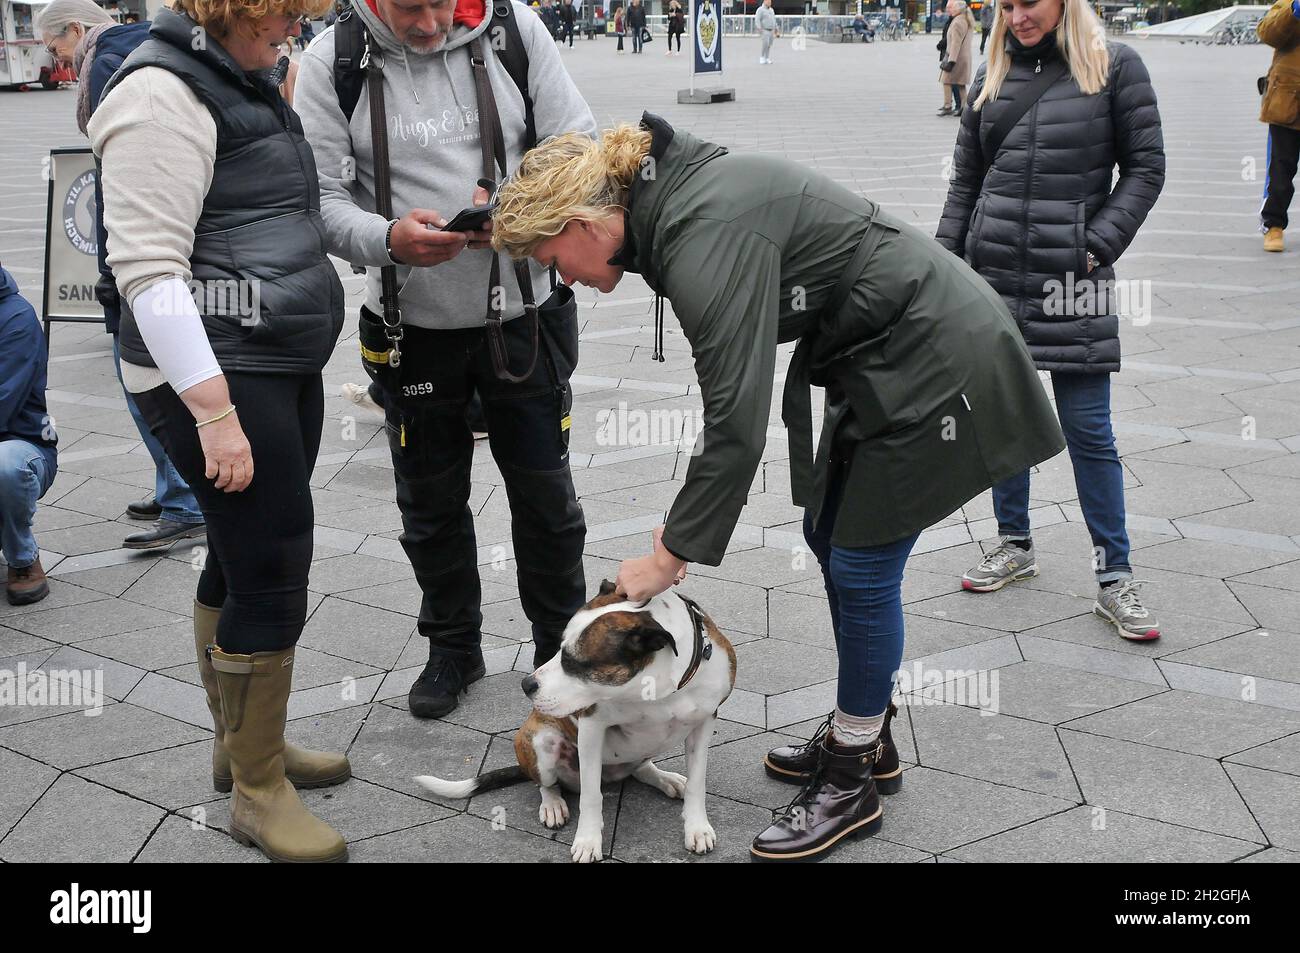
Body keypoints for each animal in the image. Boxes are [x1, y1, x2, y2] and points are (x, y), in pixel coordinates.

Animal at [418, 579, 738, 863]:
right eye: (559, 649)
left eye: (574, 662)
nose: (526, 685)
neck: (656, 688)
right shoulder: (592, 728)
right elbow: (591, 796)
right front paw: (587, 841)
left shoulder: (703, 724)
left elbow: (697, 784)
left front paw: (697, 828)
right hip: (541, 741)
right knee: (546, 783)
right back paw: (553, 805)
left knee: (641, 768)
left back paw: (665, 778)